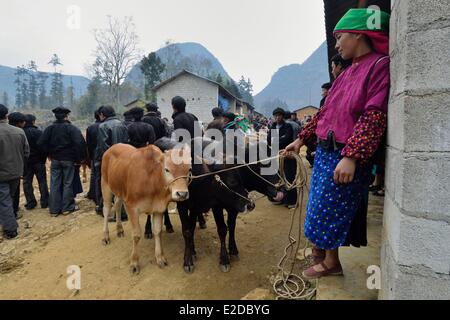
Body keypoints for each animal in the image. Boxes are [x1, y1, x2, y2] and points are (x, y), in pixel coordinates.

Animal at [100, 144, 192, 274]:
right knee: (107, 209)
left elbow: (157, 232)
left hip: (119, 191)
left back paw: (119, 229)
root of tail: (111, 148)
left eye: (189, 170)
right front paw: (134, 262)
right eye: (167, 169)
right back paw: (105, 236)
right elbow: (136, 235)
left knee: (117, 205)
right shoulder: (131, 207)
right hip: (105, 185)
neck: (152, 179)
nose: (182, 194)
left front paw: (160, 258)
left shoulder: (158, 209)